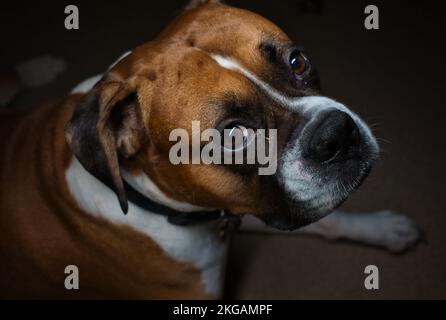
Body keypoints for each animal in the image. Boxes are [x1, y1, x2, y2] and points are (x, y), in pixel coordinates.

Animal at [0, 0, 418, 300]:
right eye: (232, 136)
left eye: (298, 61)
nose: (336, 133)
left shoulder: (238, 204)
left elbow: (328, 220)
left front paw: (383, 228)